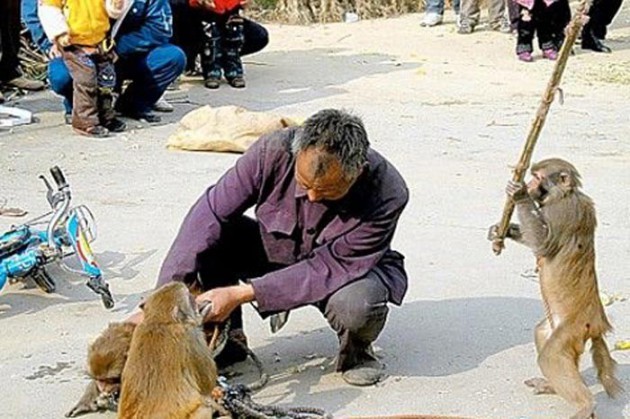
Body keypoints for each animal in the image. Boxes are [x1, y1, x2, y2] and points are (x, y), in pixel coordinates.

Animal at [118, 282, 227, 419]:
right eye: (190, 298)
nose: (198, 299)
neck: (160, 321)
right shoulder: (191, 336)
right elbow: (207, 382)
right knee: (203, 407)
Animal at [492, 158, 624, 419]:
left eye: (537, 177)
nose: (530, 184)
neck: (563, 194)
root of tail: (597, 323)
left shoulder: (561, 211)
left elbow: (543, 244)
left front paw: (519, 194)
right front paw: (501, 231)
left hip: (575, 326)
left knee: (551, 356)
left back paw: (585, 405)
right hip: (564, 327)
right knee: (543, 335)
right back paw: (554, 387)